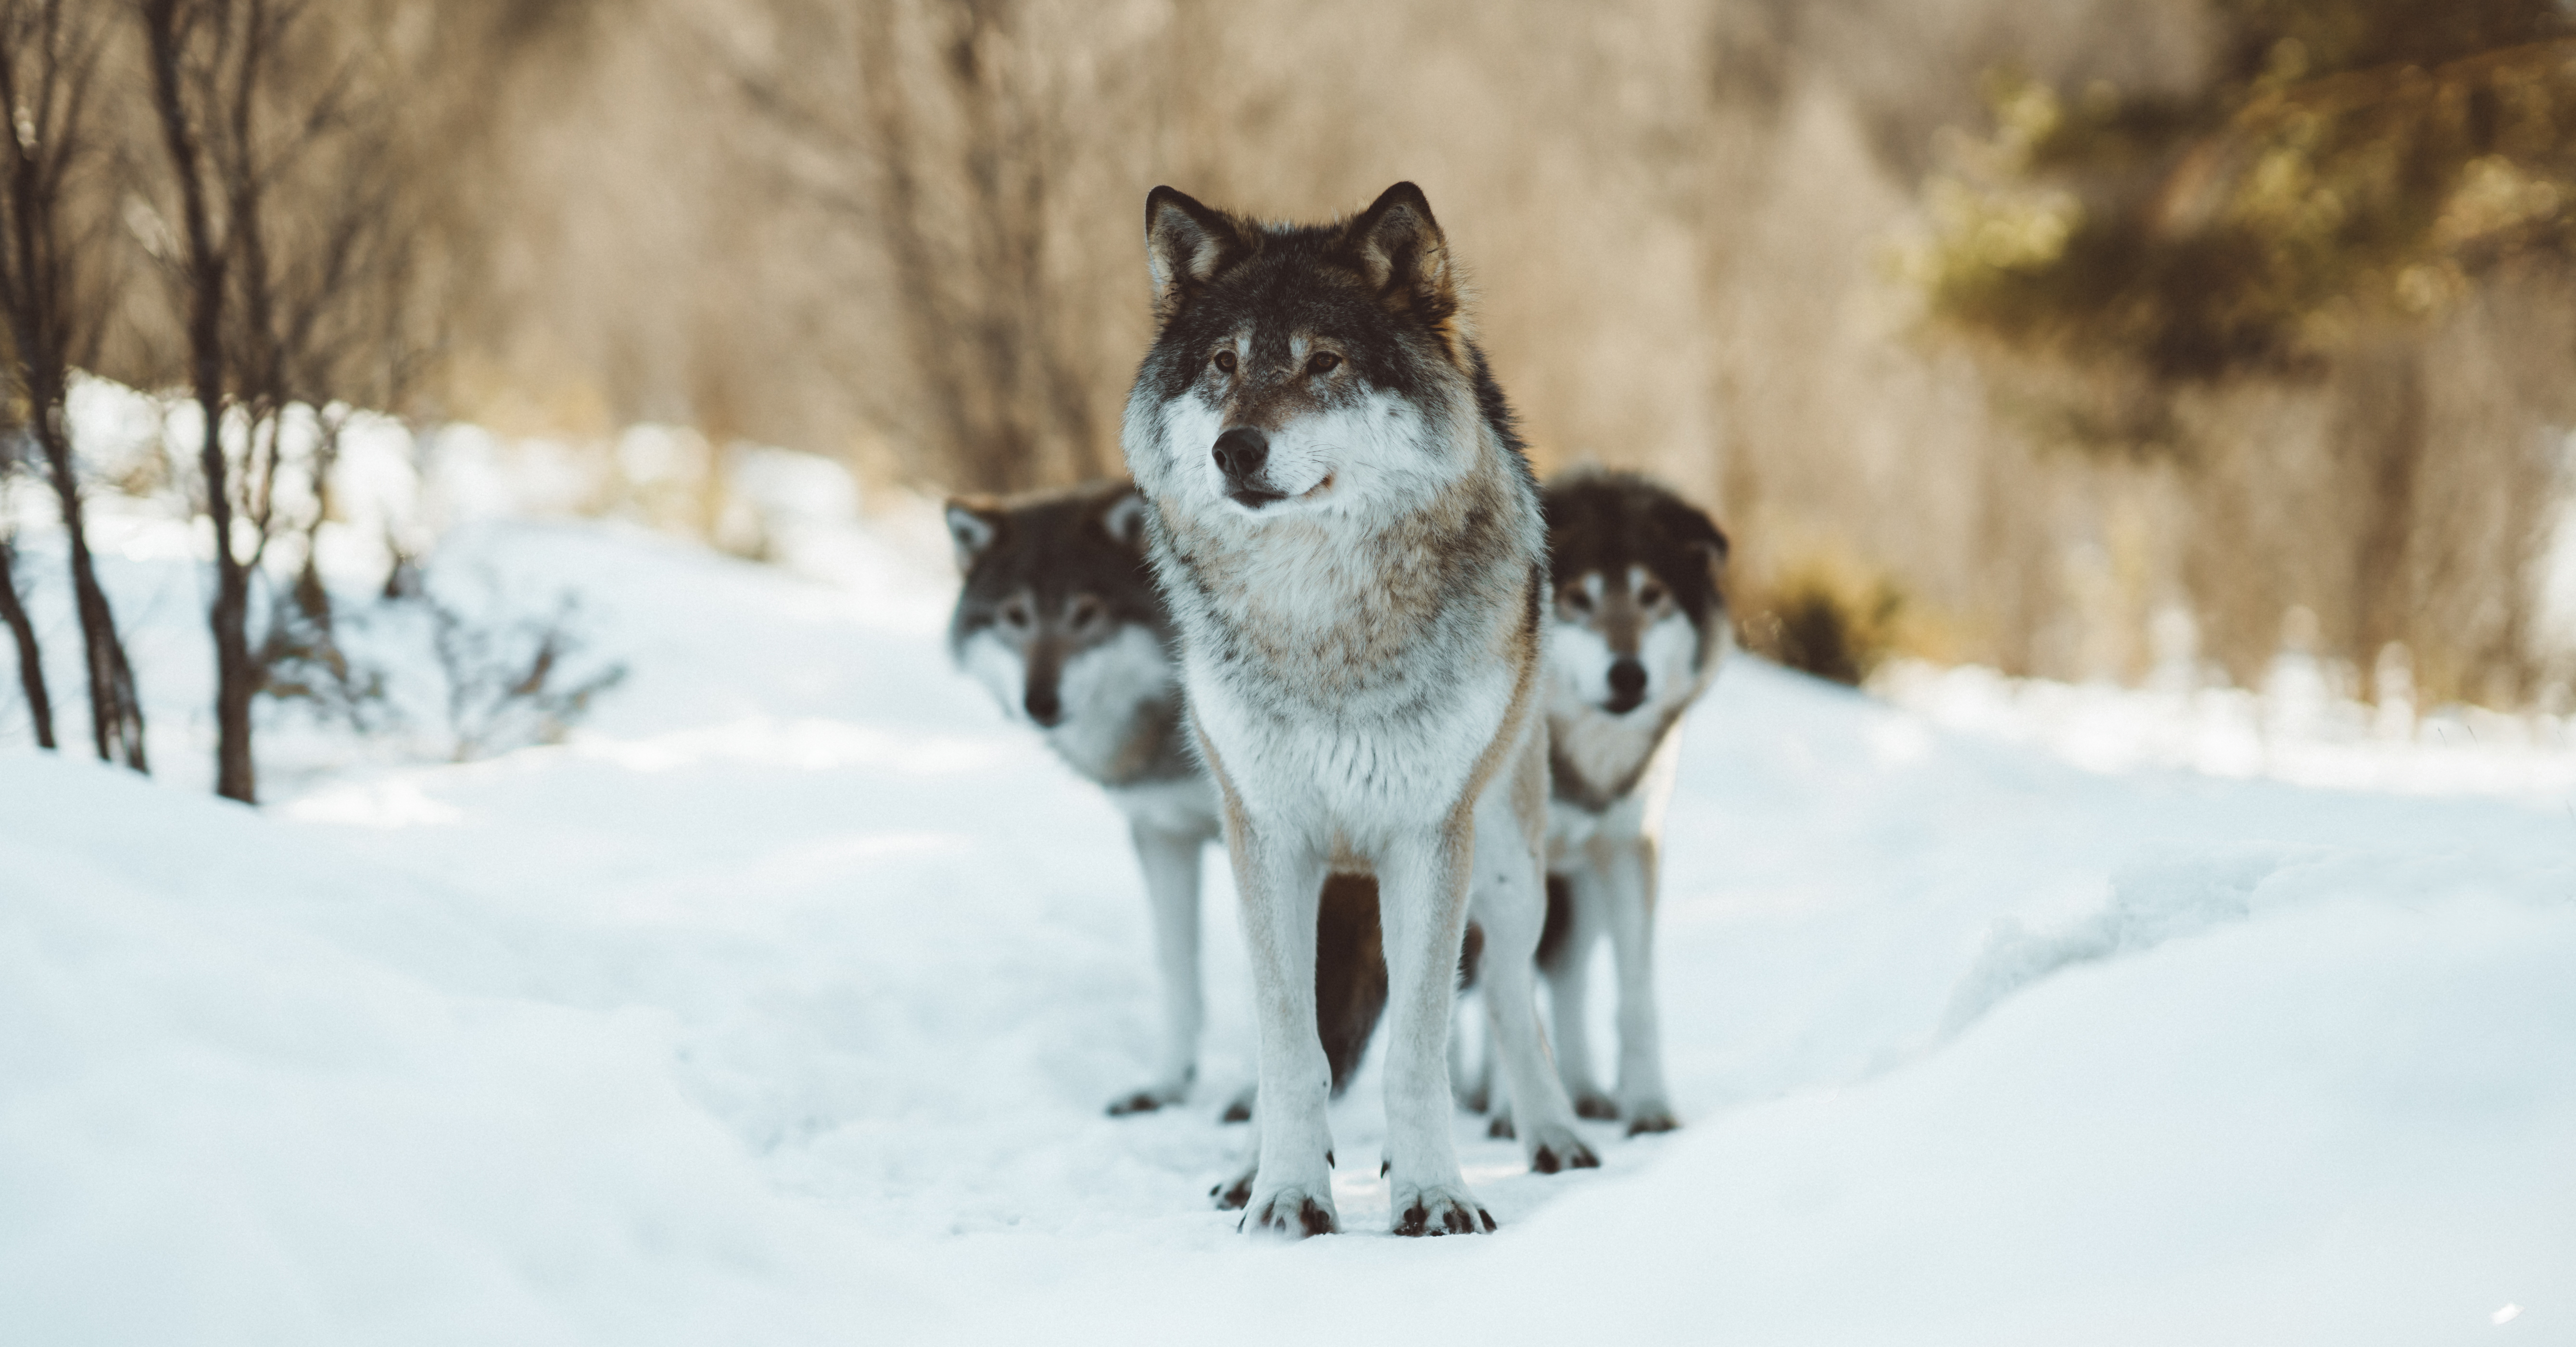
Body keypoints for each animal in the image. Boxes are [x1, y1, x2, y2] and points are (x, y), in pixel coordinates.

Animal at [948, 479, 1391, 1123]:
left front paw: (1264, 1102)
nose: (1040, 702)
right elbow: (1181, 973)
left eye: (1086, 613)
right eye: (1015, 616)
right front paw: (1166, 1085)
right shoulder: (1163, 836)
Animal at [1123, 181, 1587, 1246]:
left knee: (1512, 998)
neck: (1321, 634)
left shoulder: (1427, 835)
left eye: (1323, 362)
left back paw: (1553, 1135)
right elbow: (1290, 1049)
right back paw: (1246, 1171)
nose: (1235, 449)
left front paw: (1433, 1195)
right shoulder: (1267, 837)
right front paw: (1287, 1193)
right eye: (1223, 365)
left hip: (1507, 861)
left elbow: (1418, 1048)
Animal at [1525, 468, 1731, 1133]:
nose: (1628, 675)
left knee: (1567, 979)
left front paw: (1647, 1106)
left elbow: (1636, 999)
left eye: (1651, 595)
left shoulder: (1627, 848)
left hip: (1581, 887)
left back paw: (1584, 1090)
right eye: (1578, 599)